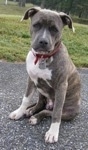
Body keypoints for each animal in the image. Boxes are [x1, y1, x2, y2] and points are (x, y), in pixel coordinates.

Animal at [9, 7, 81, 143]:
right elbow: (26, 99)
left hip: (69, 112)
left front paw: (53, 133)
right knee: (40, 104)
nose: (43, 41)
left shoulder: (61, 87)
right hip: (41, 91)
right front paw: (20, 112)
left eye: (54, 29)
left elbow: (56, 113)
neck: (42, 57)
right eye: (36, 25)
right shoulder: (31, 80)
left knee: (49, 111)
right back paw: (30, 111)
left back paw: (35, 117)